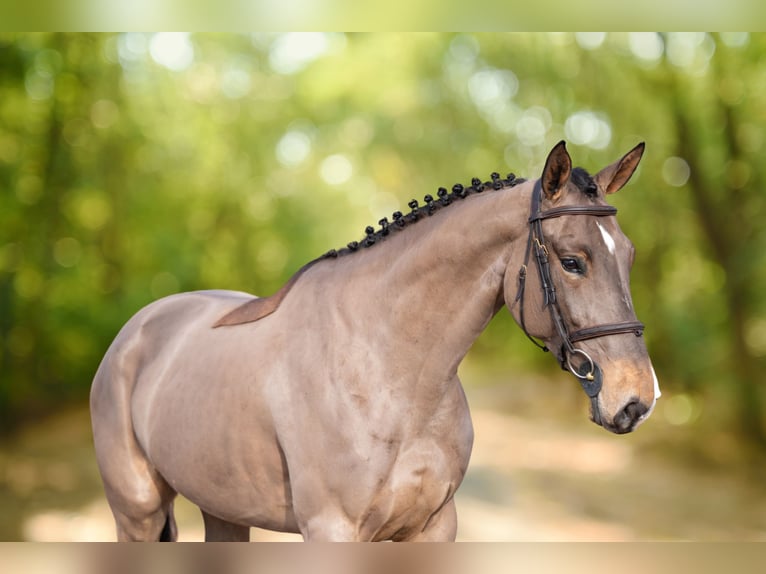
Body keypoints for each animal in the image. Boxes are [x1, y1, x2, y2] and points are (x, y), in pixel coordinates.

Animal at [91, 142, 660, 544]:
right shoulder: (332, 530)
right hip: (136, 512)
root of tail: (134, 330)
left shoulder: (434, 526)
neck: (391, 372)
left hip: (222, 509)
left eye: (630, 255)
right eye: (572, 261)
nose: (638, 400)